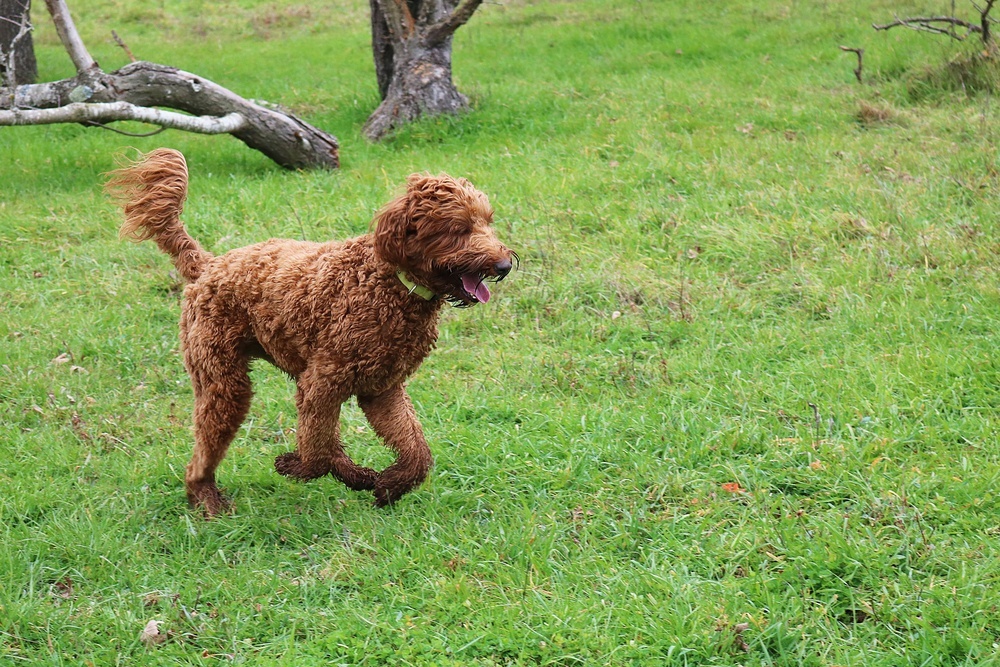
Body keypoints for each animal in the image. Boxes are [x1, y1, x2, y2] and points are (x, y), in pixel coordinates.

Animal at [108, 150, 516, 516]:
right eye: (459, 228)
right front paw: (299, 467)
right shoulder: (322, 383)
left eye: (488, 222)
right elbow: (317, 454)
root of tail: (207, 264)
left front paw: (389, 485)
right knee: (203, 457)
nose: (504, 265)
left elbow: (417, 452)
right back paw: (208, 501)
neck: (392, 282)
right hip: (224, 383)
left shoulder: (381, 389)